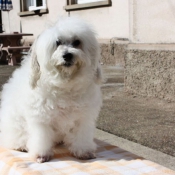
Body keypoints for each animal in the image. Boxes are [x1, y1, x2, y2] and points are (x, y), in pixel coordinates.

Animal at [0, 17, 102, 163]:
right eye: (57, 42)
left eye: (77, 42)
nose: (67, 55)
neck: (64, 84)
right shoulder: (41, 119)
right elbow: (41, 137)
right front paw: (40, 154)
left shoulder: (83, 118)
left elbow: (81, 136)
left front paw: (84, 151)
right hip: (15, 125)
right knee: (13, 139)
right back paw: (21, 145)